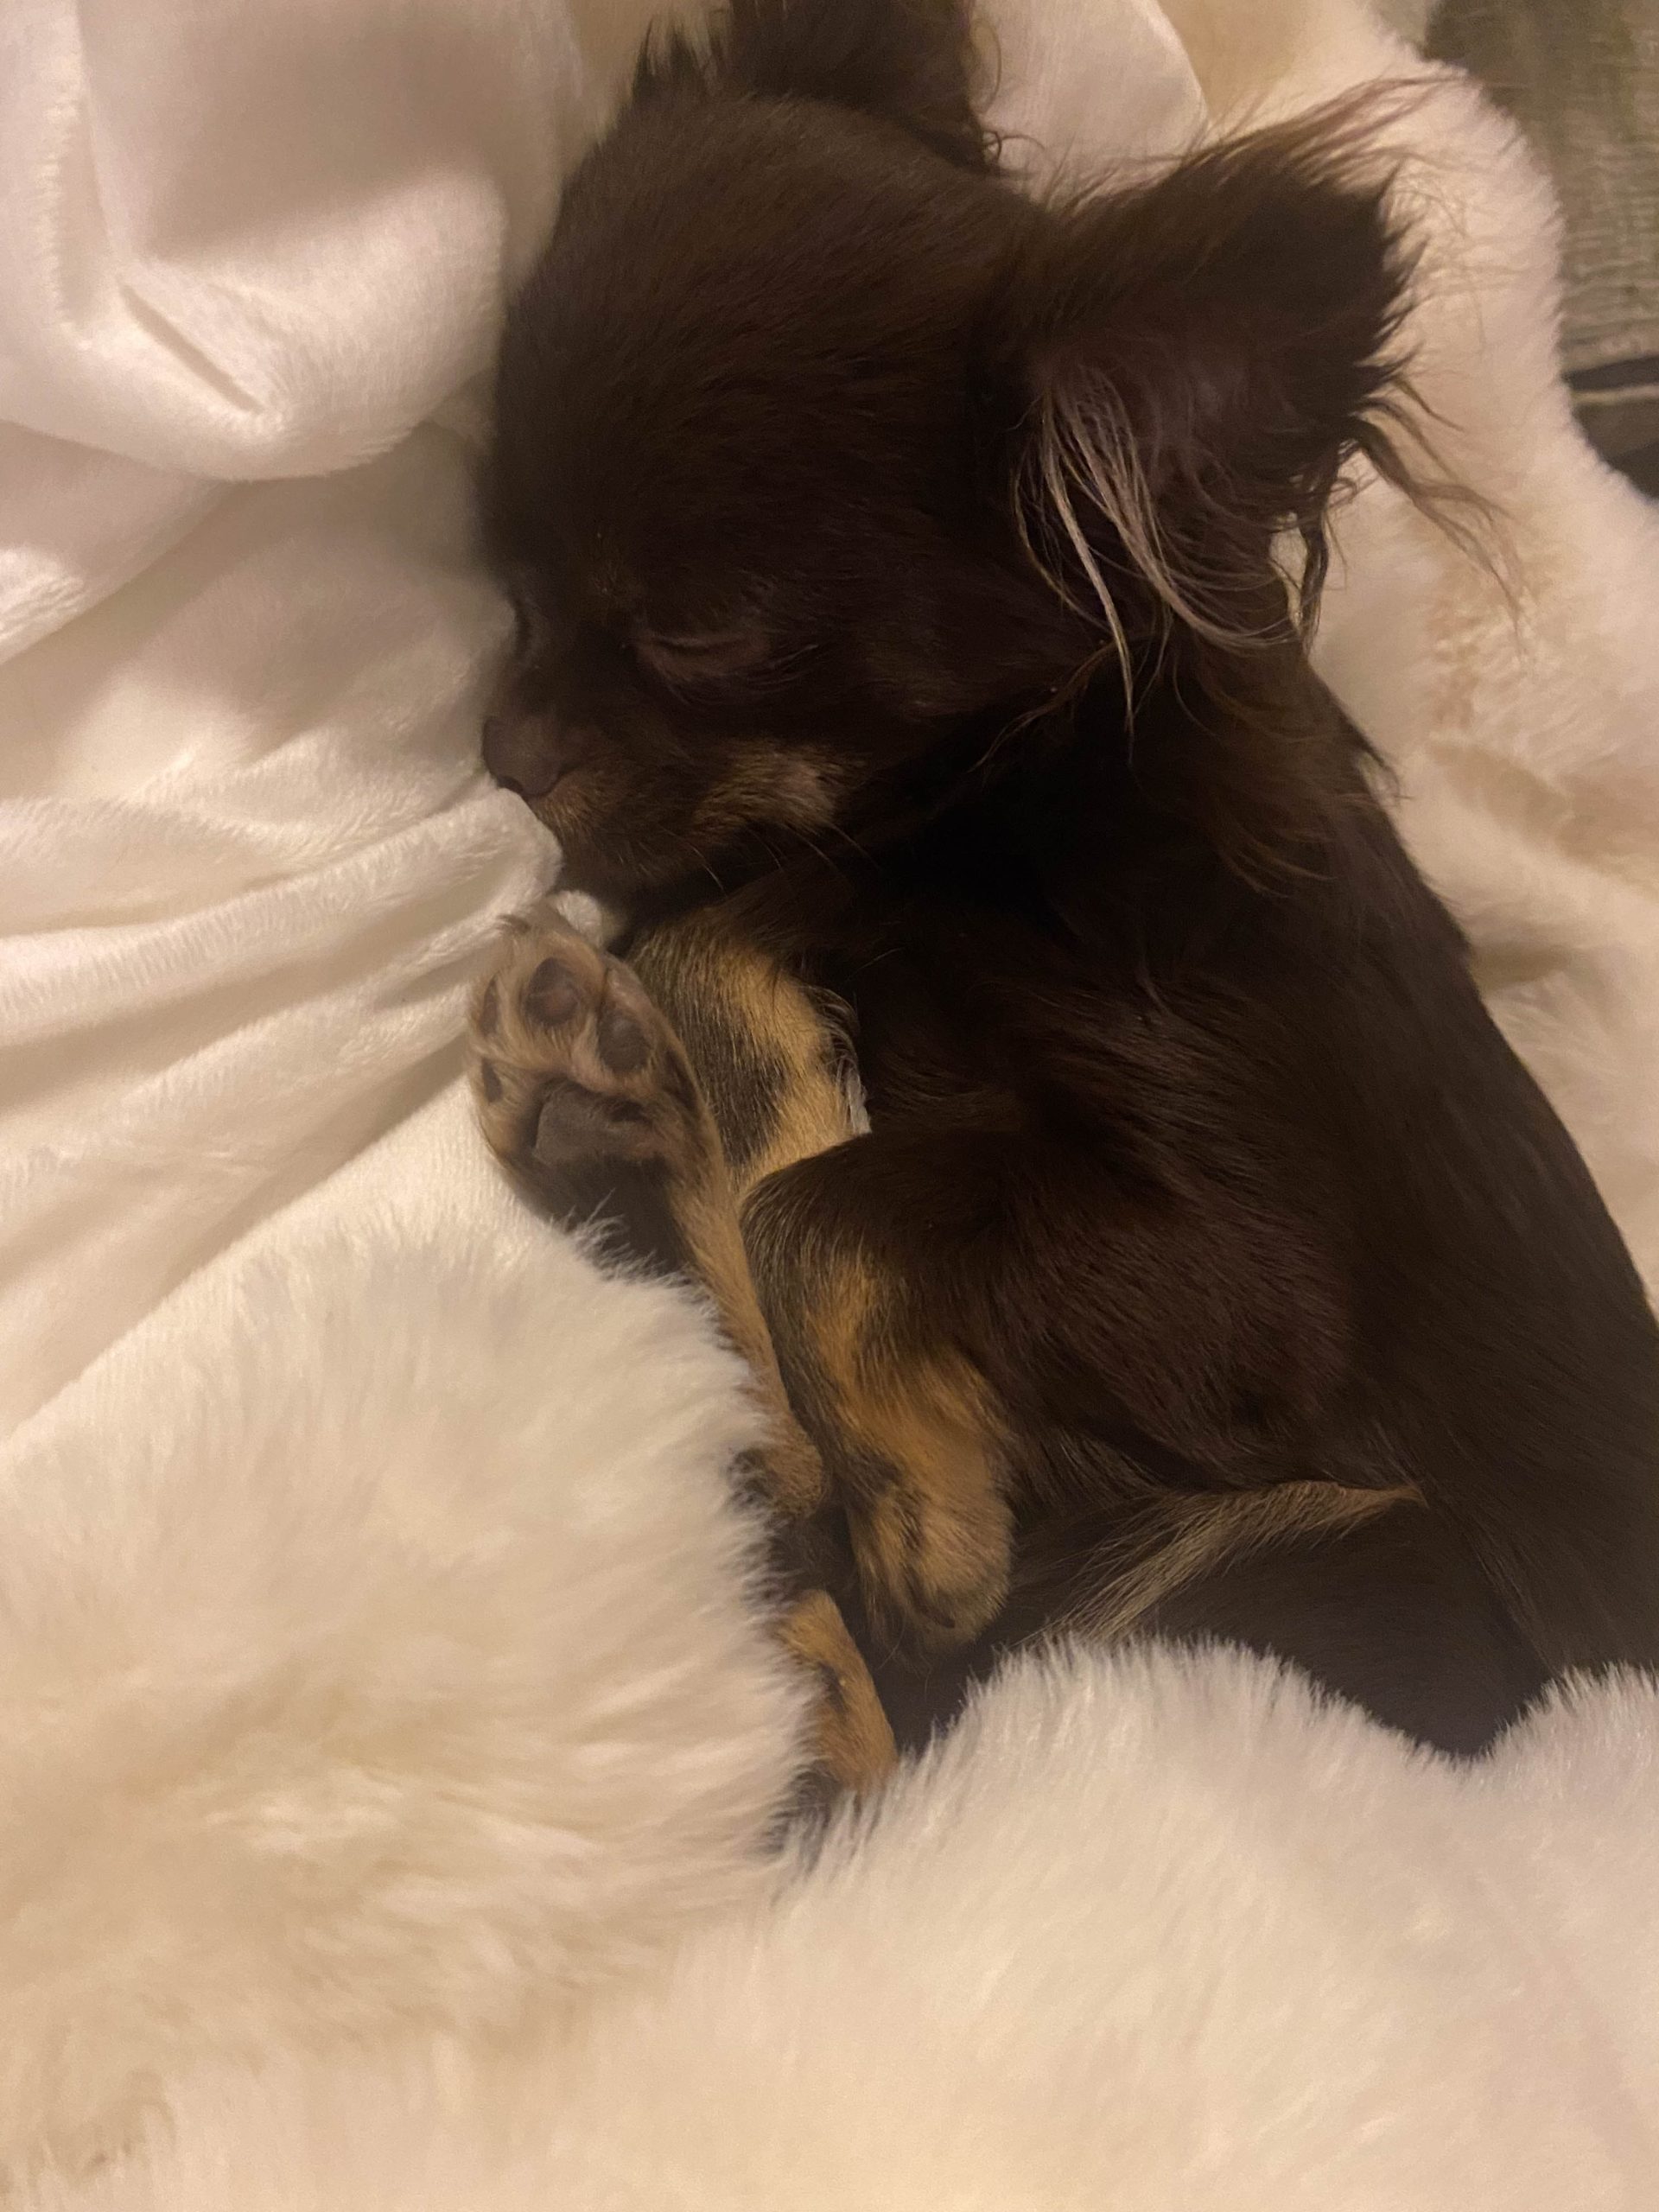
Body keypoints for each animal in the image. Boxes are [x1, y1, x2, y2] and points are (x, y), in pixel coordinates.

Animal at [464, 0, 1659, 1770]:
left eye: (695, 632)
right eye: (513, 578)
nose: (500, 745)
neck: (999, 822)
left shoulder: (1254, 1290)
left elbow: (819, 1201)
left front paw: (925, 1509)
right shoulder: (853, 885)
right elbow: (715, 967)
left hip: (1362, 1566)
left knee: (903, 1716)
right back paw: (591, 1108)